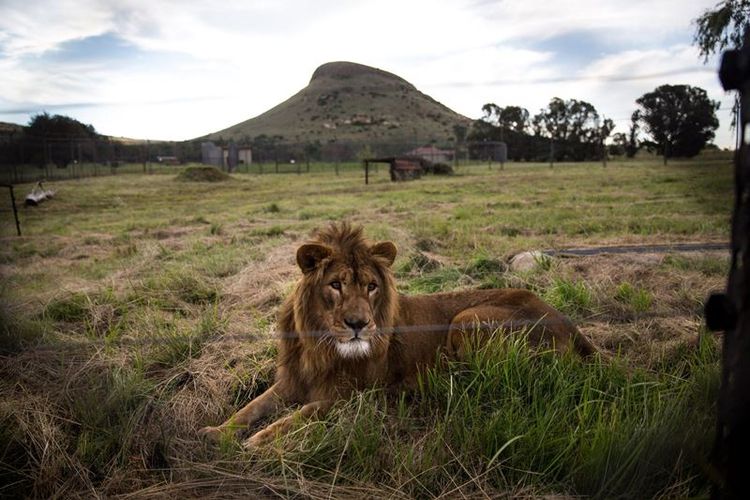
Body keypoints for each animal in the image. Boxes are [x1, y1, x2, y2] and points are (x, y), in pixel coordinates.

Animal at [200, 225, 600, 448]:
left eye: (371, 286)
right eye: (335, 285)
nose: (358, 323)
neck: (319, 345)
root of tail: (569, 322)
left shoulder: (346, 396)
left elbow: (297, 416)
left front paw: (257, 441)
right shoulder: (292, 381)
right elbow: (251, 407)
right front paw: (217, 432)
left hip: (467, 318)